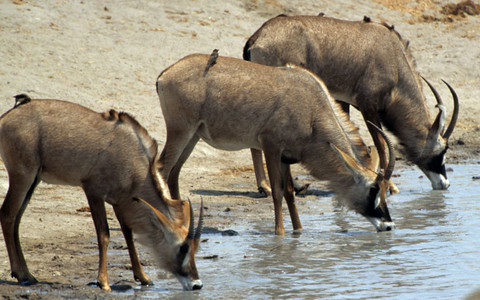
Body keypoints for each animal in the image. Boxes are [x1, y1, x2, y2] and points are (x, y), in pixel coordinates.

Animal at [0, 95, 203, 290]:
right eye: (183, 248)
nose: (197, 284)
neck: (133, 158)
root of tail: (8, 116)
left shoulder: (120, 200)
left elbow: (128, 233)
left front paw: (143, 277)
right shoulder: (93, 191)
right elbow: (103, 234)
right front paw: (103, 282)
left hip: (34, 180)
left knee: (16, 219)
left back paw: (26, 274)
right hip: (23, 176)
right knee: (8, 215)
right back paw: (22, 275)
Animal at [156, 54, 396, 237]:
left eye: (385, 190)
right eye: (373, 189)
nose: (388, 225)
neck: (312, 108)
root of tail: (165, 74)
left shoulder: (286, 156)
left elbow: (289, 192)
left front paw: (298, 230)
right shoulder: (270, 146)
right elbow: (277, 192)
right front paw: (279, 234)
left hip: (193, 136)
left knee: (175, 172)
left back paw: (183, 223)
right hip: (180, 131)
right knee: (163, 169)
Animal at [246, 14, 460, 195]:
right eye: (443, 151)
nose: (445, 184)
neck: (394, 60)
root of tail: (257, 37)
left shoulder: (342, 100)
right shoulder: (368, 106)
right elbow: (381, 144)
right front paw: (391, 186)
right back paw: (268, 186)